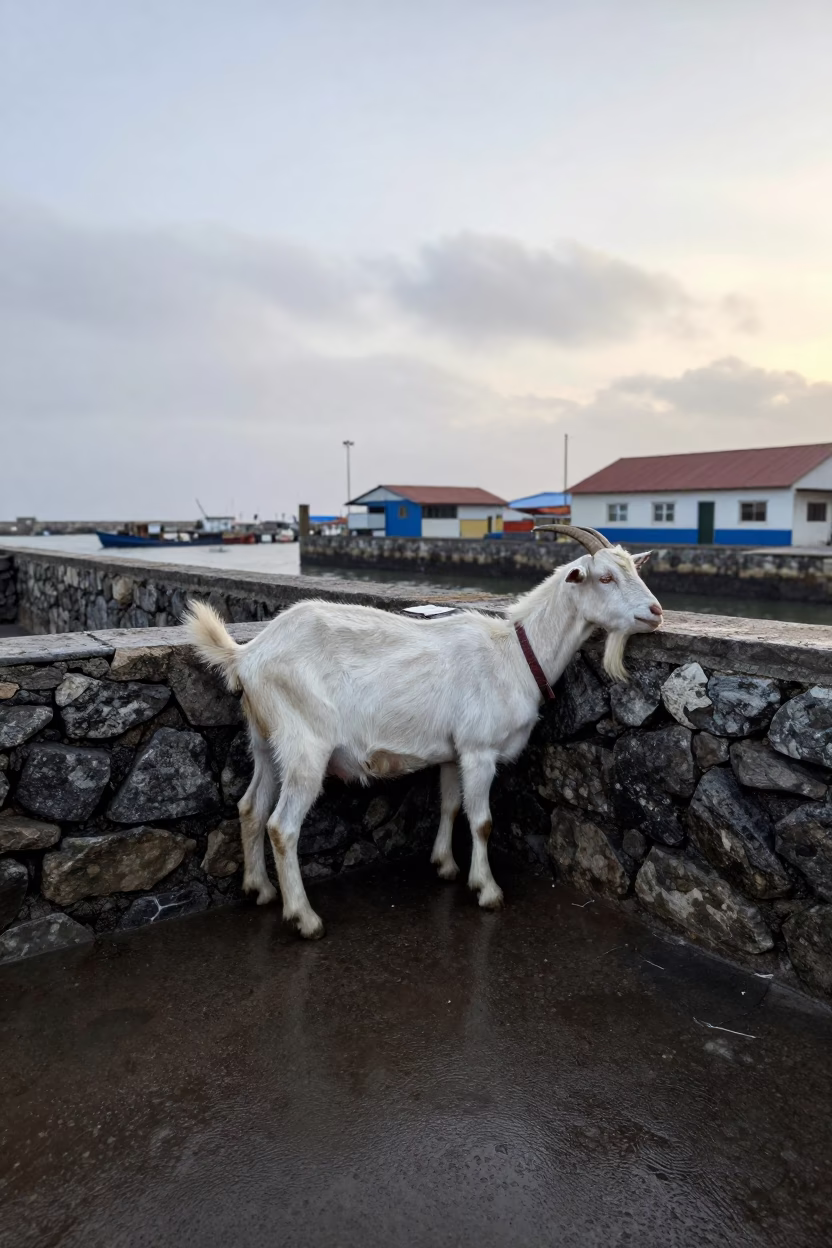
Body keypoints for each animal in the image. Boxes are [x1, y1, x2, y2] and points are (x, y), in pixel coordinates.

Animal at [185, 526, 662, 939]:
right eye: (605, 577)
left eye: (636, 571)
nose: (656, 612)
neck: (516, 654)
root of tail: (247, 655)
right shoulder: (479, 749)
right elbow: (483, 821)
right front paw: (487, 890)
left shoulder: (454, 751)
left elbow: (450, 806)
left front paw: (445, 866)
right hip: (306, 744)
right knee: (282, 826)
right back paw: (304, 918)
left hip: (265, 740)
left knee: (251, 807)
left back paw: (260, 890)